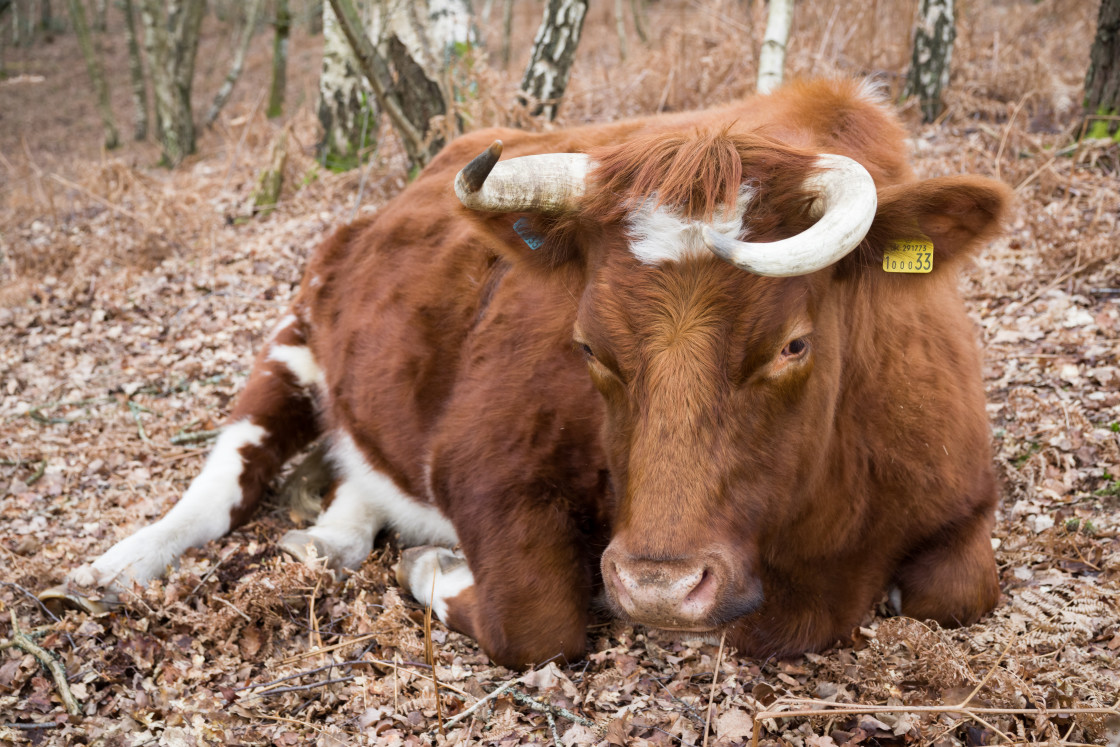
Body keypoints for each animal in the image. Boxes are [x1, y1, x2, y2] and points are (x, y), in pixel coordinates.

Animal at [41, 78, 1008, 667]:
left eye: (794, 345)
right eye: (587, 348)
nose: (659, 585)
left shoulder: (959, 495)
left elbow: (960, 590)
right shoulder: (489, 465)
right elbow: (536, 621)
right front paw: (433, 570)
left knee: (350, 505)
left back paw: (323, 532)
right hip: (294, 334)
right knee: (221, 485)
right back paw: (106, 572)